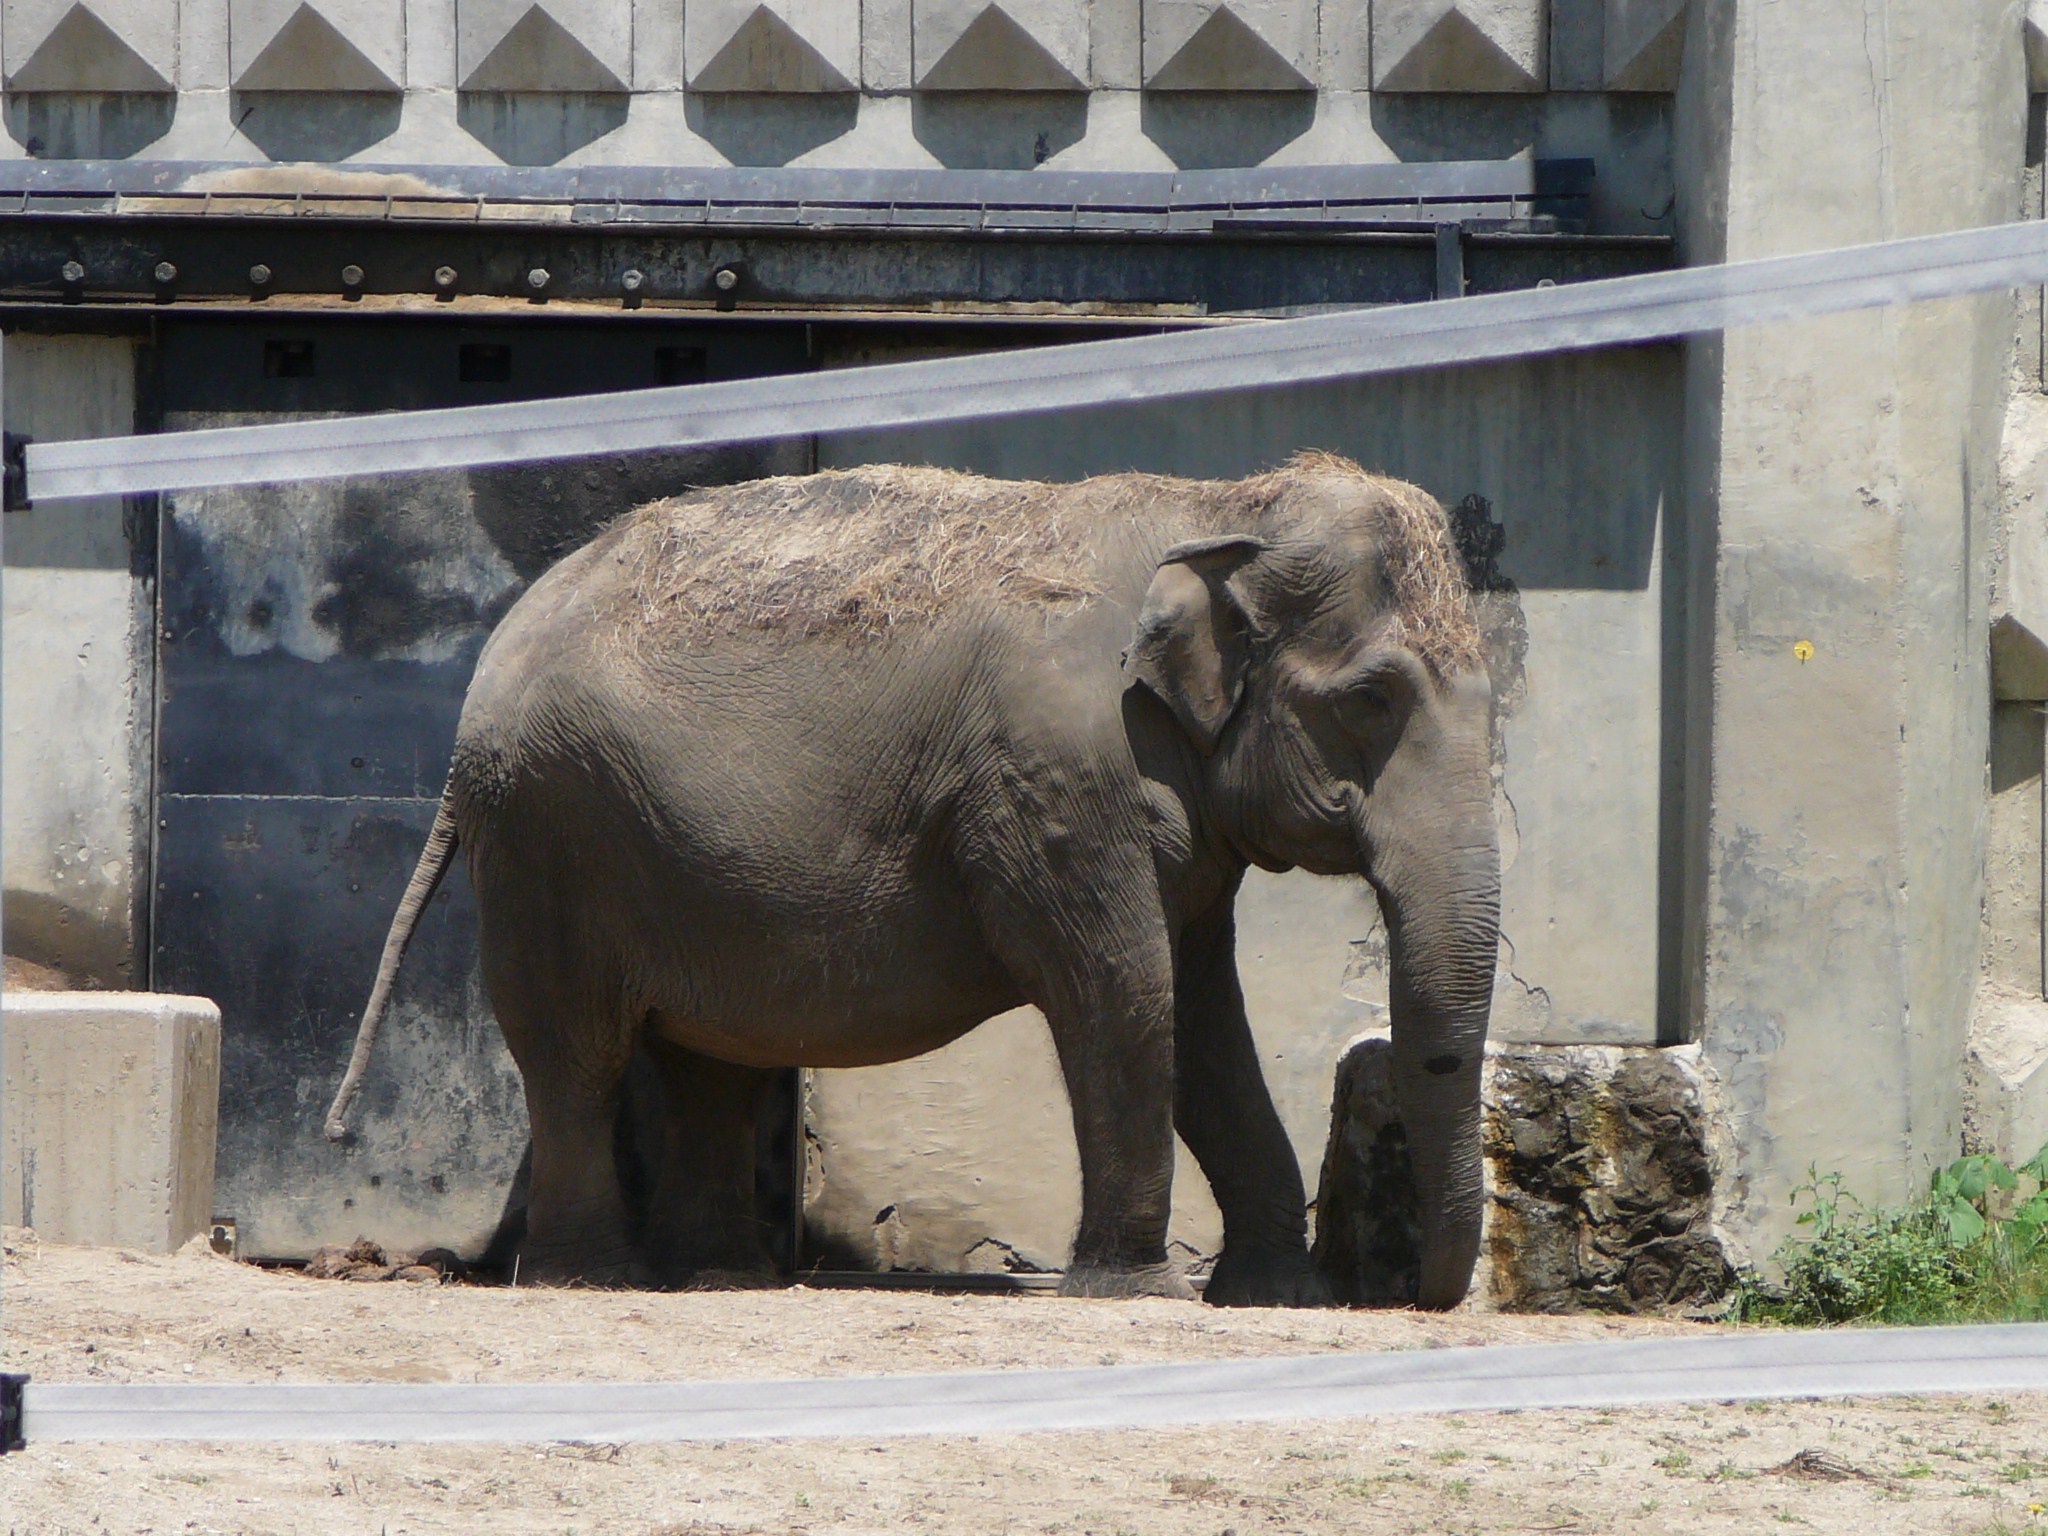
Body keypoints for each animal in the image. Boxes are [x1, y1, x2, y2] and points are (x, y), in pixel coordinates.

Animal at [323, 456, 1507, 1310]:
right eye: (1371, 699)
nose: (1421, 1299)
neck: (1220, 503)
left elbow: (1208, 1015)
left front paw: (1273, 1296)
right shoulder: (1056, 772)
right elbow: (1122, 990)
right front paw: (1134, 1293)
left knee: (707, 1061)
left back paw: (719, 1277)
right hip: (549, 832)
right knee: (575, 1050)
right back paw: (594, 1277)